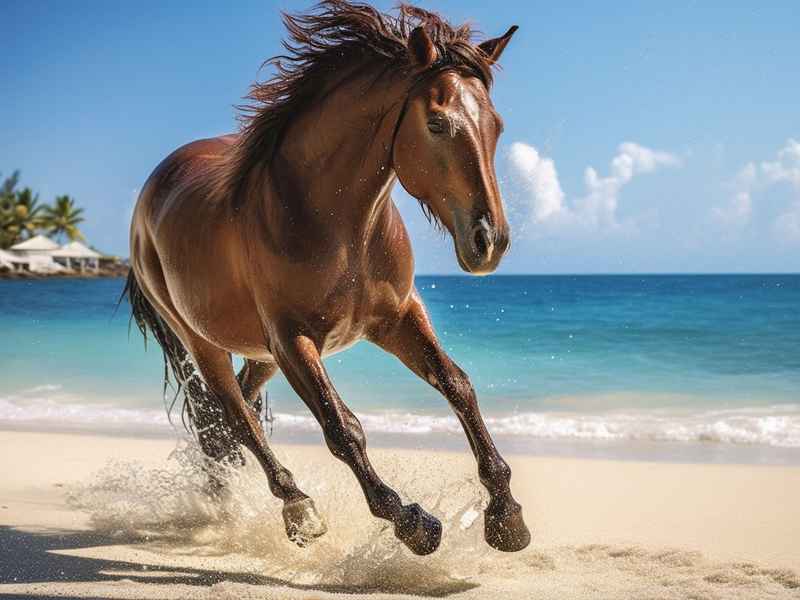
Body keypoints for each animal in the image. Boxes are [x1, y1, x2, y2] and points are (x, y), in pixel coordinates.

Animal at [125, 0, 529, 556]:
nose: (489, 242)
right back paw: (297, 508)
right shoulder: (293, 340)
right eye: (437, 123)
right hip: (203, 342)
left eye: (497, 125)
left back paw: (223, 493)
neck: (340, 225)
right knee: (236, 416)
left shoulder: (398, 318)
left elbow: (458, 385)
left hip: (259, 354)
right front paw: (413, 523)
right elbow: (342, 428)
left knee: (230, 419)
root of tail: (151, 194)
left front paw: (507, 516)